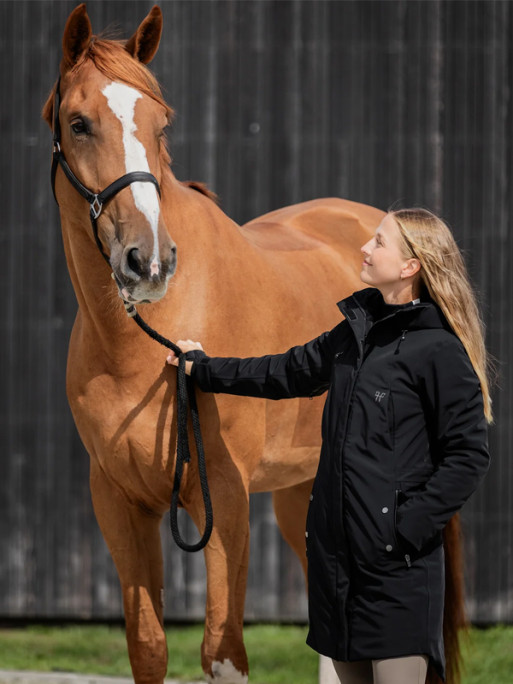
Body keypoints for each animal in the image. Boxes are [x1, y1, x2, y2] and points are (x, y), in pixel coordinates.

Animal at [43, 5, 465, 684]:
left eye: (162, 124)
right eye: (79, 124)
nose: (149, 261)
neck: (141, 346)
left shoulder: (225, 500)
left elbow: (223, 651)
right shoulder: (118, 501)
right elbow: (149, 647)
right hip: (305, 494)